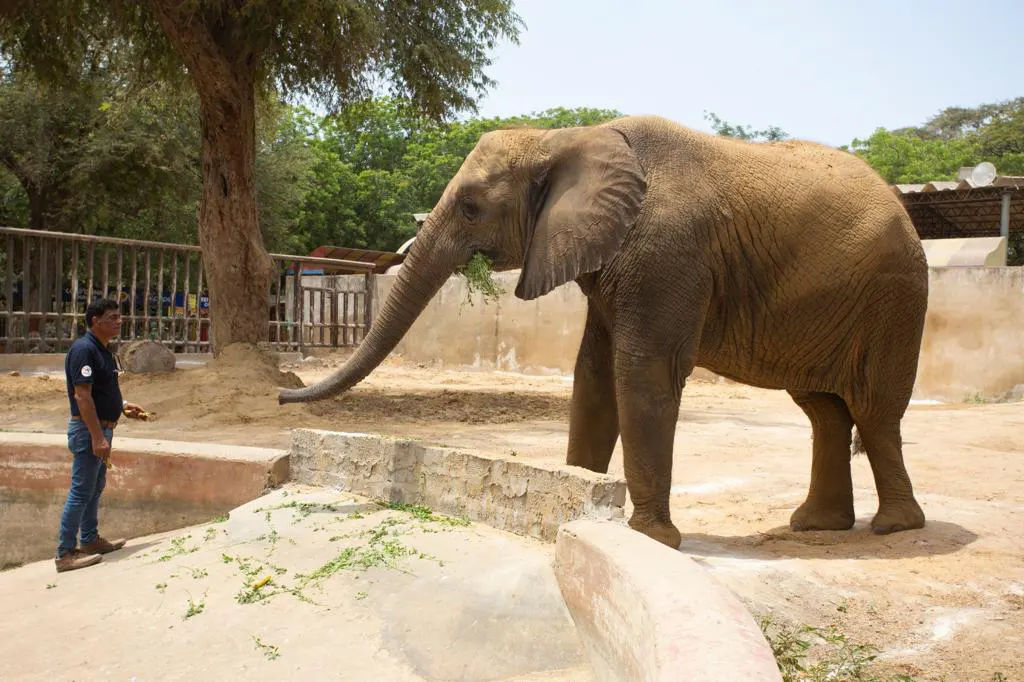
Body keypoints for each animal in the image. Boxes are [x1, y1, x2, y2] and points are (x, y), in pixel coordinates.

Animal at [278, 112, 929, 548]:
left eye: (469, 207)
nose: (282, 393)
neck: (565, 138)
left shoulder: (667, 254)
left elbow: (641, 373)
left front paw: (650, 539)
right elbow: (591, 374)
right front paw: (578, 498)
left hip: (894, 298)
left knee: (872, 410)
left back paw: (892, 527)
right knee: (824, 410)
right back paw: (818, 525)